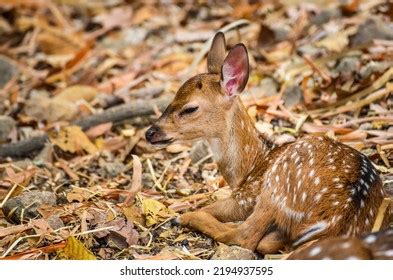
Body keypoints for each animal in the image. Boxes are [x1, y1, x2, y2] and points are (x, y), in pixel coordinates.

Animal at [143, 31, 386, 255]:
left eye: (190, 108)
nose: (150, 133)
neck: (248, 168)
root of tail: (336, 219)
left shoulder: (246, 197)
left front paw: (180, 214)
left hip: (277, 186)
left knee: (245, 237)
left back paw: (187, 218)